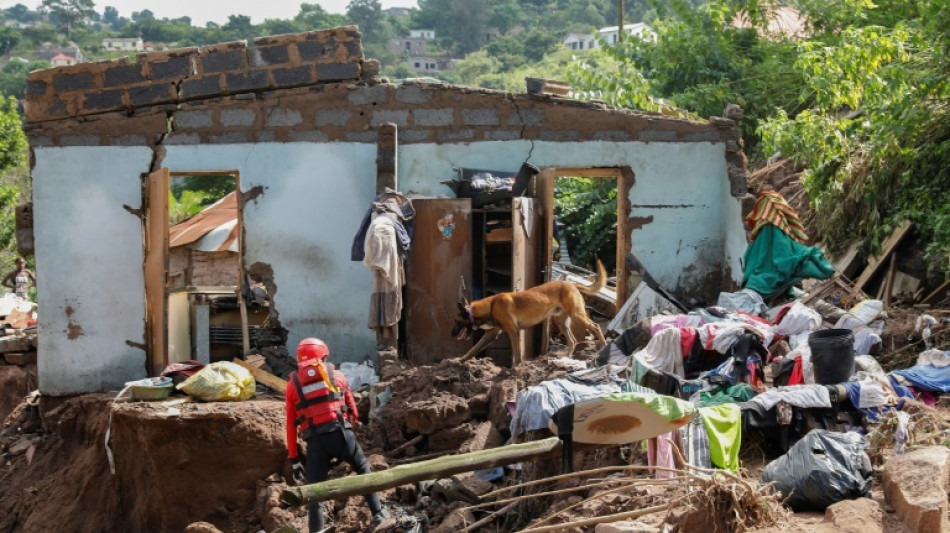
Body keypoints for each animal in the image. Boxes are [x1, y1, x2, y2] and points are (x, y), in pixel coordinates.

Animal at [456, 260, 608, 364]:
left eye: (456, 322)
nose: (453, 334)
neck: (491, 305)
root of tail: (571, 283)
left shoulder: (514, 332)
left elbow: (517, 355)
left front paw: (514, 370)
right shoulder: (490, 336)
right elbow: (473, 350)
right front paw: (460, 361)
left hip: (576, 315)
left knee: (596, 326)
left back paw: (604, 346)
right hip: (561, 322)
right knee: (572, 340)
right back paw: (568, 358)